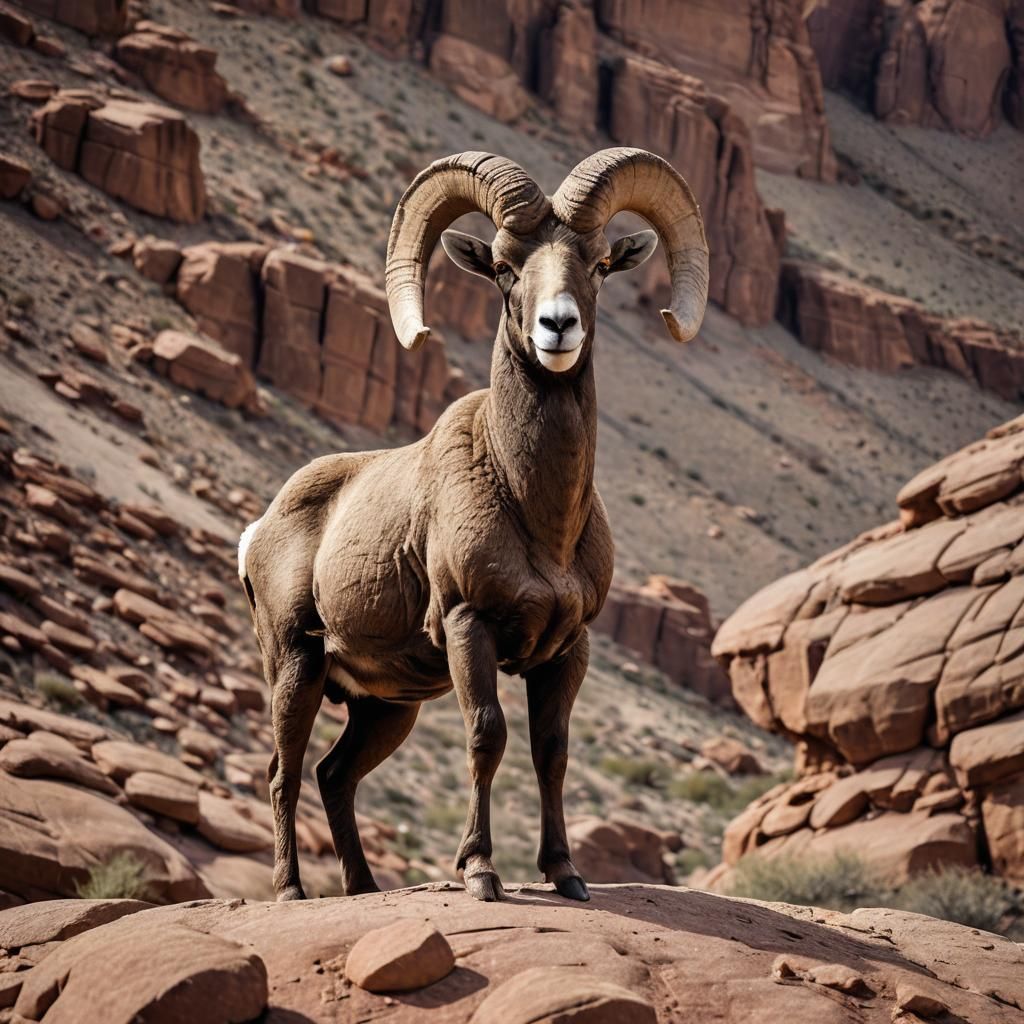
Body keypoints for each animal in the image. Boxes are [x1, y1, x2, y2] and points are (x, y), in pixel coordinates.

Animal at [239, 147, 709, 903]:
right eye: (505, 267)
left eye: (599, 265)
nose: (557, 327)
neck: (541, 521)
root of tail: (259, 531)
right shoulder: (470, 625)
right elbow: (488, 737)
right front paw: (481, 872)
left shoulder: (567, 650)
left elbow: (552, 752)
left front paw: (565, 874)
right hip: (296, 665)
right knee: (284, 771)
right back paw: (290, 891)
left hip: (386, 706)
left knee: (333, 776)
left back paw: (364, 888)